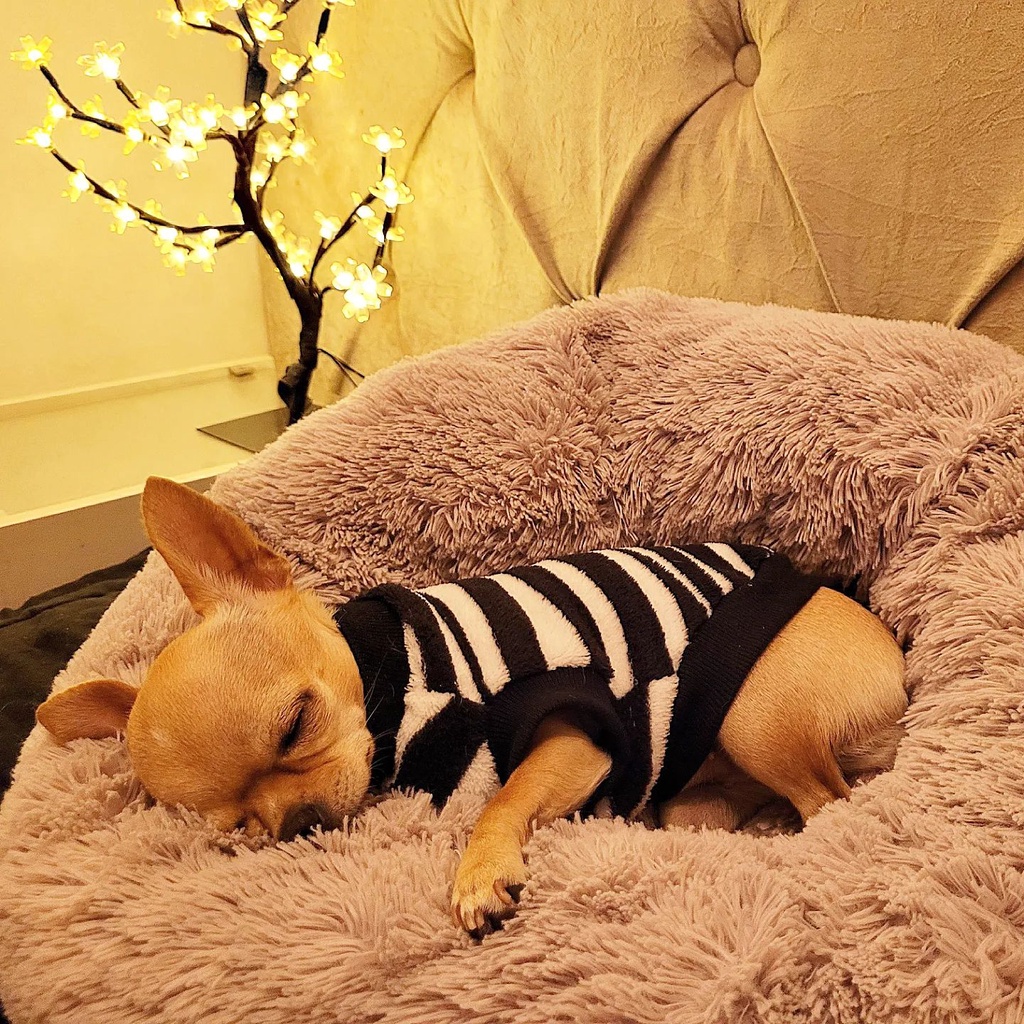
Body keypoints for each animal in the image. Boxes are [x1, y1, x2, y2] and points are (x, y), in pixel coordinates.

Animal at [37, 477, 907, 937]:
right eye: (239, 829)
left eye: (296, 724)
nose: (299, 822)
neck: (387, 681)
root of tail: (898, 665)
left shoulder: (575, 728)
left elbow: (502, 799)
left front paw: (480, 874)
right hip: (705, 788)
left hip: (754, 714)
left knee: (830, 802)